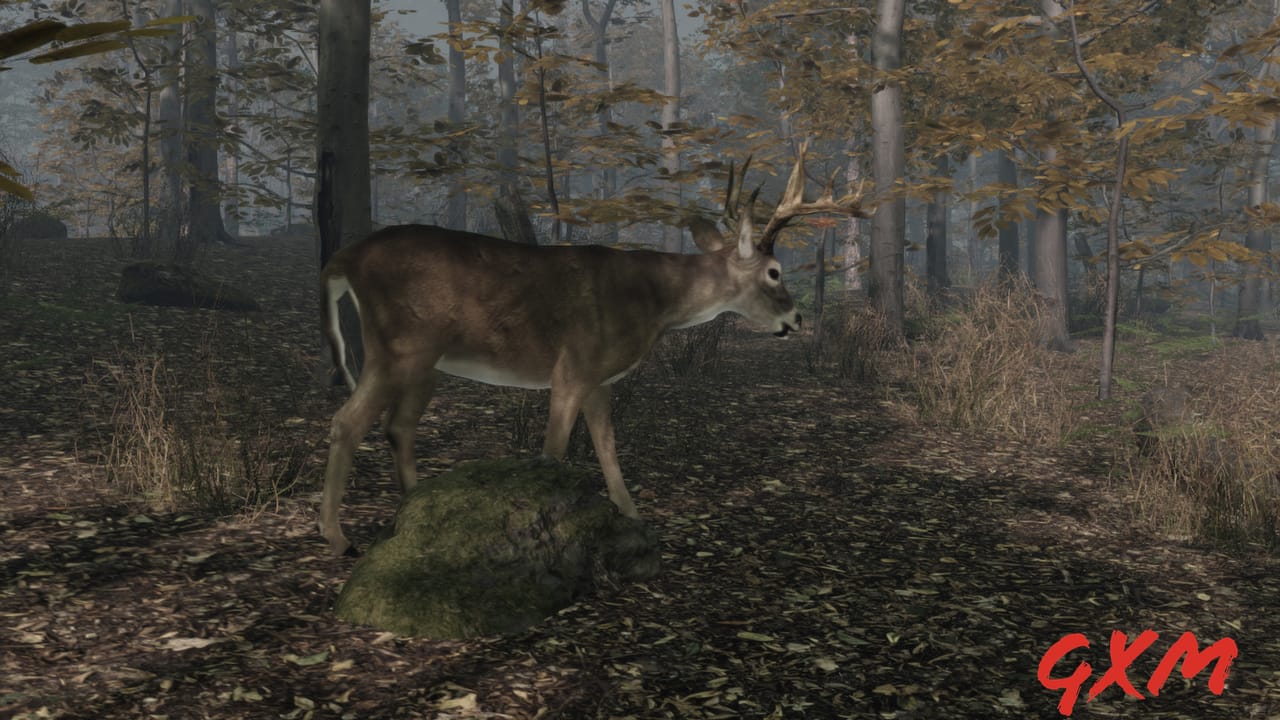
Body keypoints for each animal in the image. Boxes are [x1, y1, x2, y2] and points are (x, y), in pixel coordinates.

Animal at [317, 142, 865, 556]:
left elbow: (608, 448)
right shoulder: (572, 367)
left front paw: (634, 517)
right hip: (397, 345)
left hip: (423, 361)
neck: (652, 303)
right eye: (774, 272)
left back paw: (414, 512)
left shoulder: (599, 379)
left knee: (397, 426)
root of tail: (343, 259)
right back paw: (339, 538)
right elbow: (553, 453)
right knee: (347, 421)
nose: (796, 319)